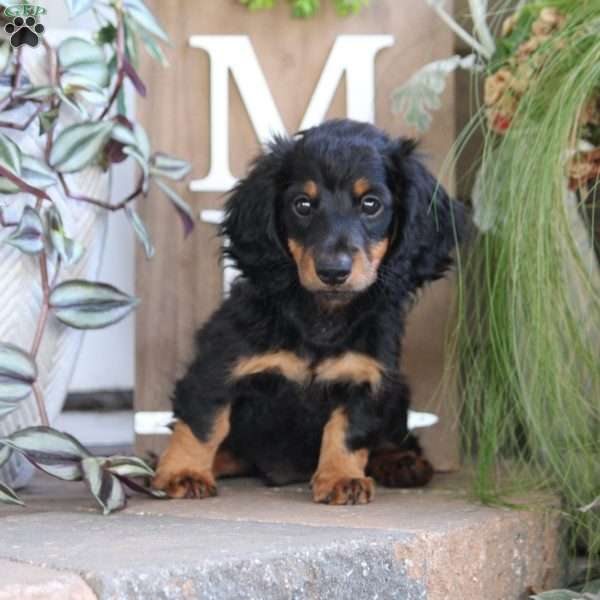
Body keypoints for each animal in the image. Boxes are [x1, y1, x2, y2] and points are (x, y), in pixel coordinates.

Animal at [152, 119, 462, 504]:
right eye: (302, 204)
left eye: (371, 203)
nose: (333, 271)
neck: (321, 315)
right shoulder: (218, 366)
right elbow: (203, 422)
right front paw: (184, 472)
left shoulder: (366, 378)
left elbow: (347, 433)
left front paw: (342, 478)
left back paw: (401, 461)